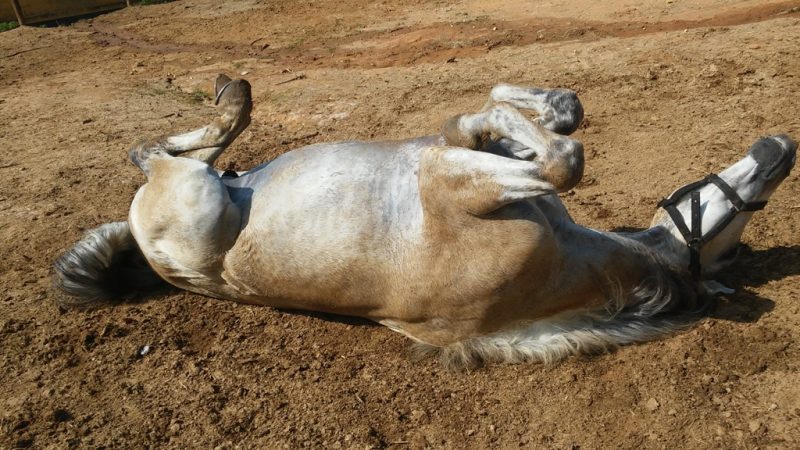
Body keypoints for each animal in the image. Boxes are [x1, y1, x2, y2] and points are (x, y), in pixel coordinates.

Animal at [54, 75, 792, 368]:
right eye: (730, 246)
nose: (779, 149)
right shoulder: (452, 170)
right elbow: (548, 137)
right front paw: (532, 108)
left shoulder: (452, 174)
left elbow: (558, 156)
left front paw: (509, 118)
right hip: (202, 195)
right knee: (156, 149)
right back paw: (233, 99)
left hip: (200, 198)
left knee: (157, 151)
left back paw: (233, 98)